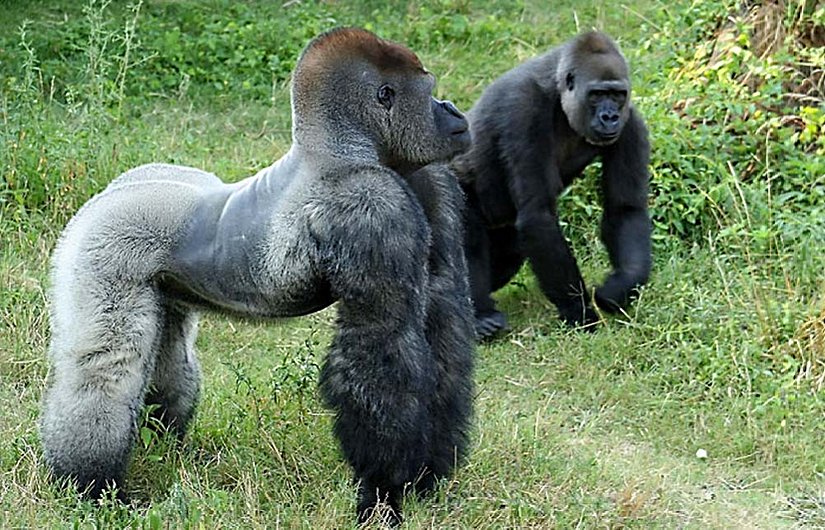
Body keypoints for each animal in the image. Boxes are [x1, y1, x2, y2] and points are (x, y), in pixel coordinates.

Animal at [39, 27, 475, 525]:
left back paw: (162, 446)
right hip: (103, 244)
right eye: (430, 92)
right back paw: (89, 485)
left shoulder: (428, 183)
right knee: (105, 368)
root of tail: (112, 189)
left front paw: (426, 476)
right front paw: (382, 493)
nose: (453, 110)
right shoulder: (371, 203)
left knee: (169, 355)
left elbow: (442, 319)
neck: (339, 149)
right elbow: (381, 341)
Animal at [453, 30, 651, 339]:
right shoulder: (523, 110)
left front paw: (621, 286)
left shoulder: (630, 122)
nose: (610, 117)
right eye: (597, 95)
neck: (559, 93)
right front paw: (580, 313)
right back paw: (479, 317)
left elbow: (625, 209)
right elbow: (538, 214)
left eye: (617, 95)